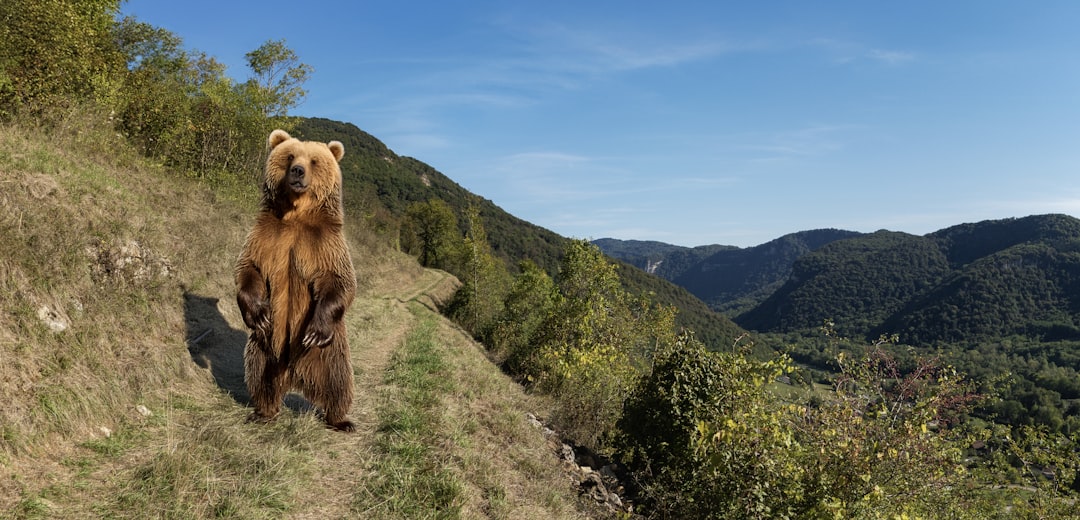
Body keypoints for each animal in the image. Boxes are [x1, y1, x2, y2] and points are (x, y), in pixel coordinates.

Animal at [235, 129, 356, 432]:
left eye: (313, 160)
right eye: (290, 156)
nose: (298, 171)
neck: (296, 214)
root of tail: (294, 375)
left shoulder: (325, 244)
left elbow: (340, 281)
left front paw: (315, 330)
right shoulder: (267, 236)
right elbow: (249, 268)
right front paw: (258, 313)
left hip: (330, 352)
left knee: (339, 383)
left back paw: (341, 420)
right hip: (265, 347)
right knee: (259, 376)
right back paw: (263, 411)